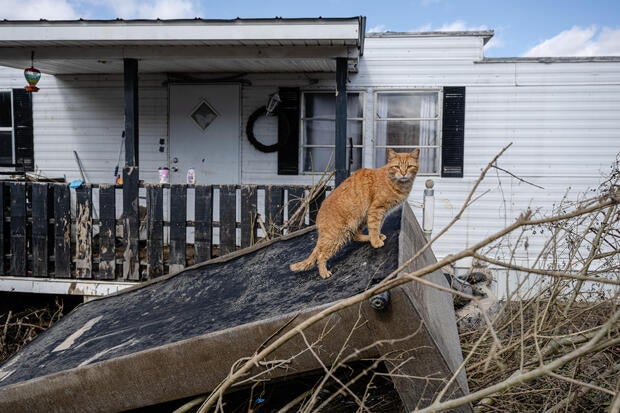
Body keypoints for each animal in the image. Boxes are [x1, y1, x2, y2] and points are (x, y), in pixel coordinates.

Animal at [292, 146, 422, 278]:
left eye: (409, 166)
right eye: (397, 166)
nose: (403, 173)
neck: (395, 182)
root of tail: (319, 215)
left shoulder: (381, 213)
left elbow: (378, 226)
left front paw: (377, 237)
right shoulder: (376, 209)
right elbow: (374, 227)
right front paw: (375, 241)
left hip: (359, 220)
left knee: (355, 236)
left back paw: (367, 238)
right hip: (338, 236)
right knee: (321, 254)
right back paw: (323, 272)